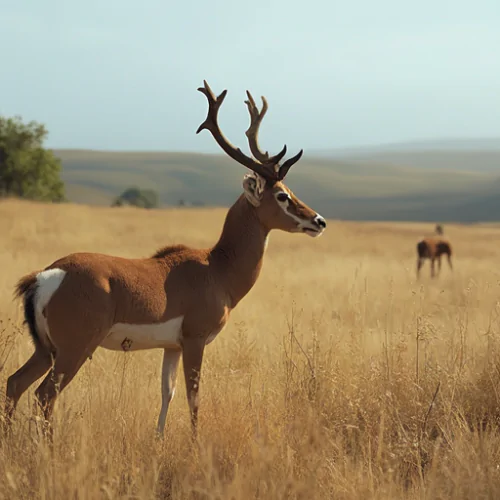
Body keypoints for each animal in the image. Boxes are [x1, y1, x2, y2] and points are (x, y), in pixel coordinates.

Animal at [6, 78, 328, 438]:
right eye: (282, 195)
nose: (318, 221)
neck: (216, 268)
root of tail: (45, 277)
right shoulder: (194, 340)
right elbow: (193, 397)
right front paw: (195, 443)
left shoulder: (171, 347)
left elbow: (167, 393)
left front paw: (159, 439)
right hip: (73, 350)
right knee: (44, 394)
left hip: (46, 350)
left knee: (15, 384)